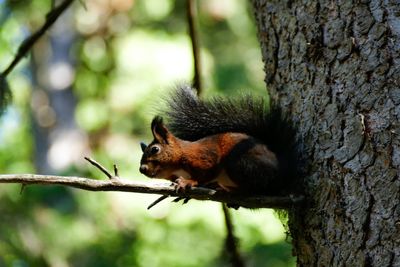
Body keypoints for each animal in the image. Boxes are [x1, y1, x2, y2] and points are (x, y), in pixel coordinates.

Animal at [140, 86, 300, 197]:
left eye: (155, 149)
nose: (142, 169)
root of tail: (285, 170)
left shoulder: (204, 158)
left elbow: (205, 174)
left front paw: (188, 182)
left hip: (241, 163)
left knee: (257, 188)